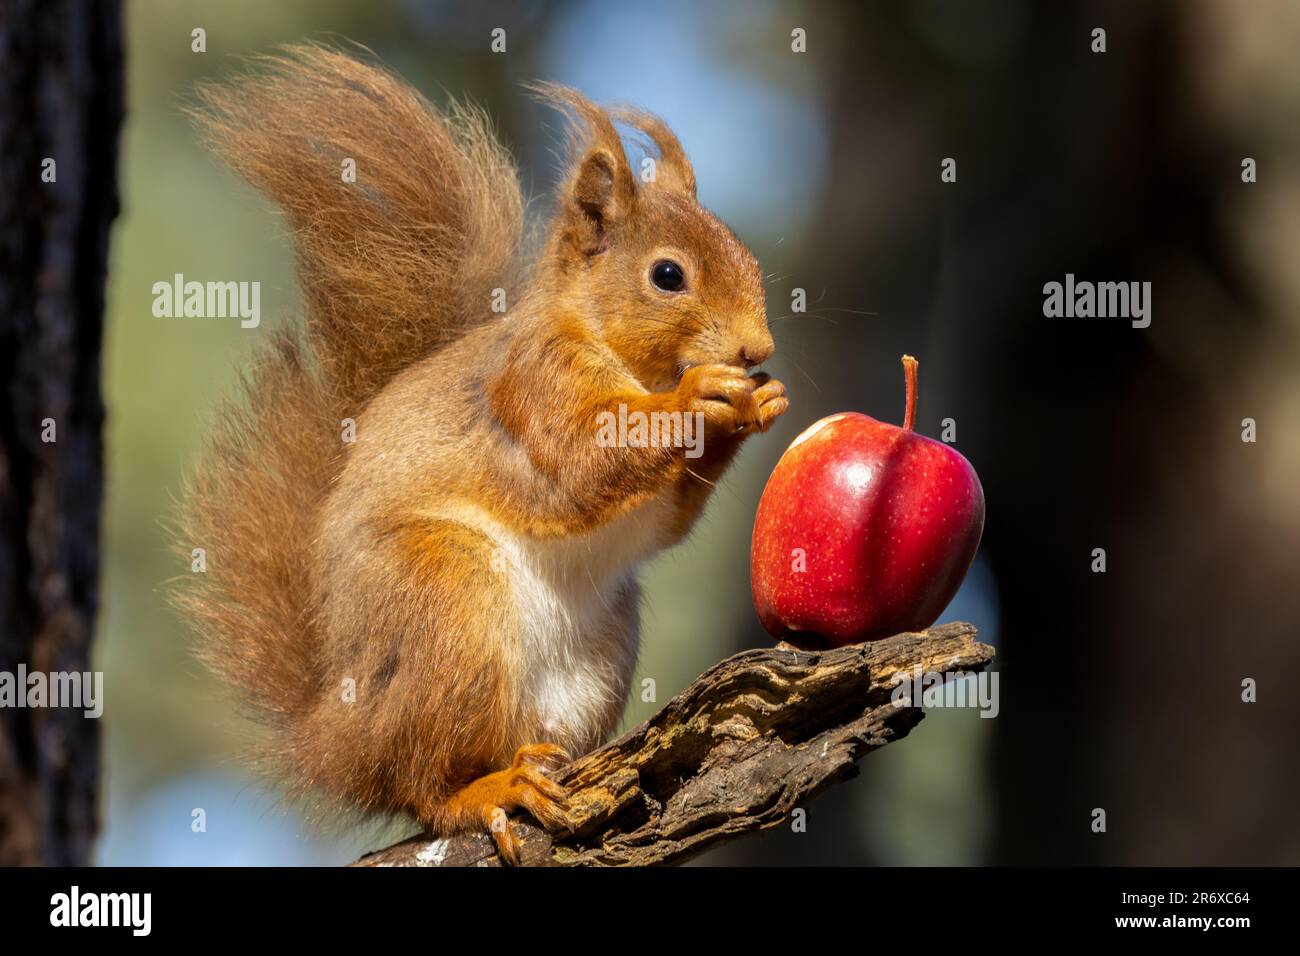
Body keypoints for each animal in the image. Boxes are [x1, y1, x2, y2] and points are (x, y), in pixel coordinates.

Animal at [175, 45, 787, 863]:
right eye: (667, 275)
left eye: (743, 252)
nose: (758, 349)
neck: (621, 353)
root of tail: (336, 737)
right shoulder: (533, 382)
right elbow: (582, 466)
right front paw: (702, 397)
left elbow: (663, 524)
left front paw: (759, 405)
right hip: (444, 600)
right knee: (423, 786)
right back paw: (490, 790)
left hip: (596, 657)